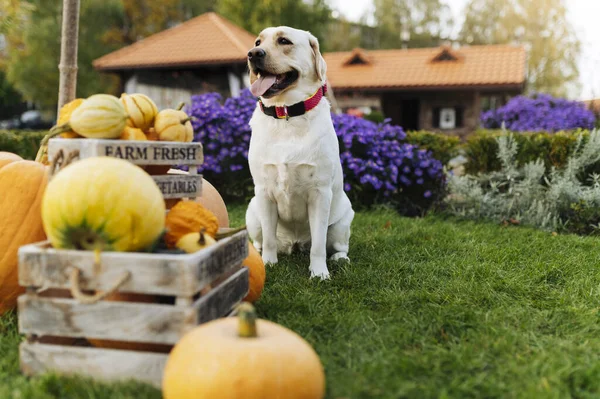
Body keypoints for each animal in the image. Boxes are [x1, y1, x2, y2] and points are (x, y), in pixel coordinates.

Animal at [244, 26, 354, 280]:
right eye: (257, 42)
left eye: (284, 41)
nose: (253, 54)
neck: (286, 113)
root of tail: (294, 245)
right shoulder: (264, 191)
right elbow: (269, 239)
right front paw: (268, 263)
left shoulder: (320, 193)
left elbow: (318, 244)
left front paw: (319, 273)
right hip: (252, 213)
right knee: (261, 239)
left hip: (343, 220)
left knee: (337, 245)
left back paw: (339, 259)